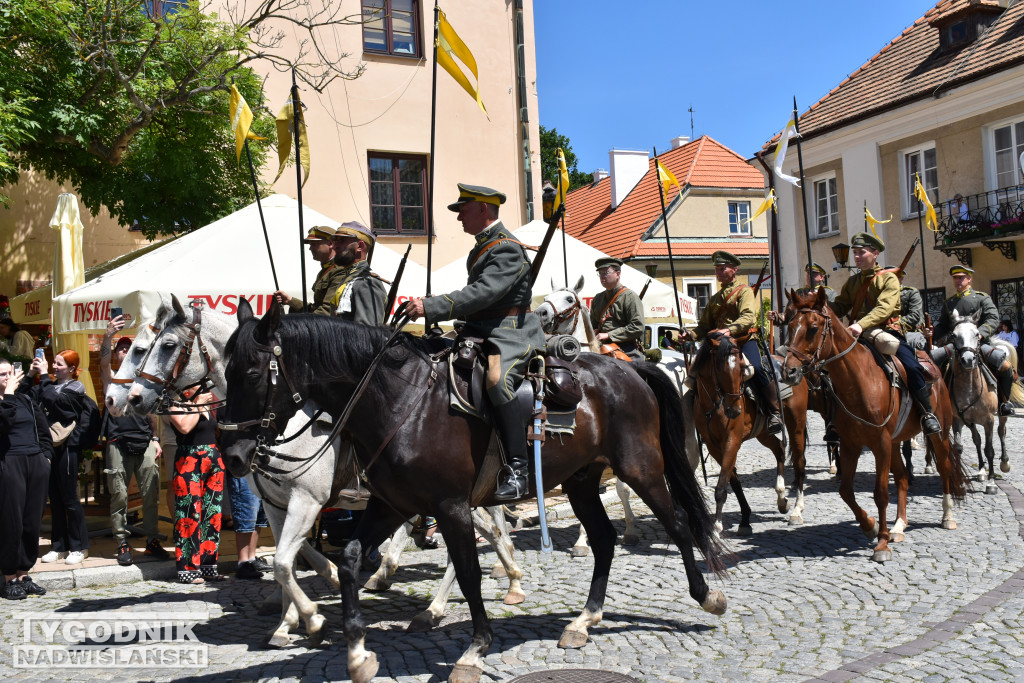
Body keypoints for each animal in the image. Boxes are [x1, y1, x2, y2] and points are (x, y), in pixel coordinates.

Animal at [217, 303, 729, 683]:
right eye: (227, 371)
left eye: (253, 373)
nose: (233, 455)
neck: (397, 403)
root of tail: (630, 368)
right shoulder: (389, 505)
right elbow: (345, 560)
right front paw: (356, 652)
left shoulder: (447, 506)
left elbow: (467, 572)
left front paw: (473, 650)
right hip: (581, 481)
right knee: (603, 540)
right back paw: (583, 620)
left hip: (640, 468)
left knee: (678, 522)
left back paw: (707, 596)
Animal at [692, 333, 811, 532]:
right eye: (719, 369)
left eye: (742, 369)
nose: (735, 411)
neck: (714, 406)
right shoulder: (713, 445)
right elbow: (732, 480)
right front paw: (745, 518)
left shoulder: (732, 440)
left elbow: (722, 485)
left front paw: (717, 526)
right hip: (763, 433)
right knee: (779, 448)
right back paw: (781, 499)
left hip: (796, 424)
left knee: (799, 463)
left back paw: (797, 510)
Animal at [782, 288, 966, 561]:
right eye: (791, 325)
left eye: (813, 328)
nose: (789, 372)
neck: (857, 381)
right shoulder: (852, 444)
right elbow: (846, 491)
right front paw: (871, 526)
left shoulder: (880, 443)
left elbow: (880, 493)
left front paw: (881, 544)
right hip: (895, 442)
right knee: (902, 477)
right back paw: (899, 526)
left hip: (937, 435)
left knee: (944, 467)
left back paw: (947, 516)